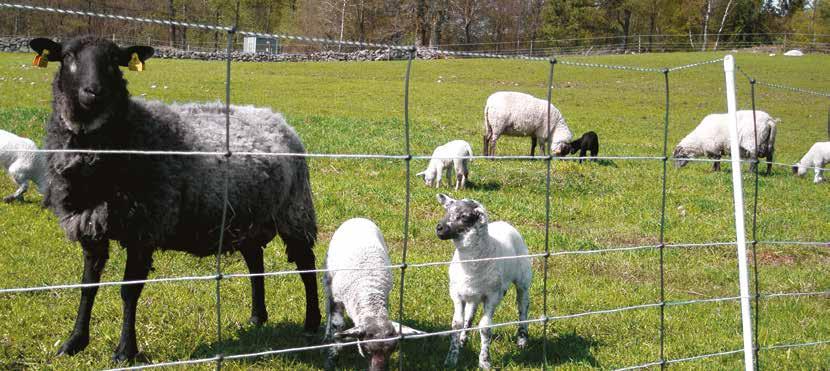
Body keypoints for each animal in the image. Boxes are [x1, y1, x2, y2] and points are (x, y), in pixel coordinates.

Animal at [30, 35, 322, 364]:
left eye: (114, 60)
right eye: (67, 56)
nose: (93, 92)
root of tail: (276, 118)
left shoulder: (145, 227)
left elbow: (129, 292)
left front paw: (125, 351)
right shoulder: (90, 225)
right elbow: (87, 286)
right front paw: (74, 342)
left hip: (294, 210)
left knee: (306, 264)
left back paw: (312, 323)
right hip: (247, 216)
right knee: (255, 262)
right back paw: (257, 318)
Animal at [324, 218, 426, 371]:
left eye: (393, 350)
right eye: (367, 350)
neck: (368, 289)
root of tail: (358, 218)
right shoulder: (337, 298)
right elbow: (337, 325)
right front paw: (332, 358)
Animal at [436, 193, 532, 370]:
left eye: (464, 216)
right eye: (447, 210)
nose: (439, 228)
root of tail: (503, 222)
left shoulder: (492, 297)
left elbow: (485, 328)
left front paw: (484, 361)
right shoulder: (457, 295)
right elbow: (456, 324)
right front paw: (451, 358)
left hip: (523, 280)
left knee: (523, 307)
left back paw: (522, 340)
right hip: (472, 294)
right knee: (470, 315)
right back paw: (463, 339)